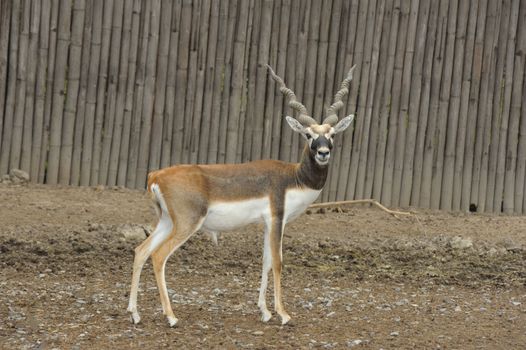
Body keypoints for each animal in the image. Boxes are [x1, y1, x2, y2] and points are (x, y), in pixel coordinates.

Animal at [128, 63, 358, 326]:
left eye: (332, 134)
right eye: (308, 135)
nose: (323, 152)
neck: (293, 177)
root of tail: (156, 175)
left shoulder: (267, 223)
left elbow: (265, 262)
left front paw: (265, 311)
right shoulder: (277, 218)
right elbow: (278, 262)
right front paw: (283, 314)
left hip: (167, 221)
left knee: (141, 251)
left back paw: (135, 314)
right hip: (187, 223)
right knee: (158, 256)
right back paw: (171, 317)